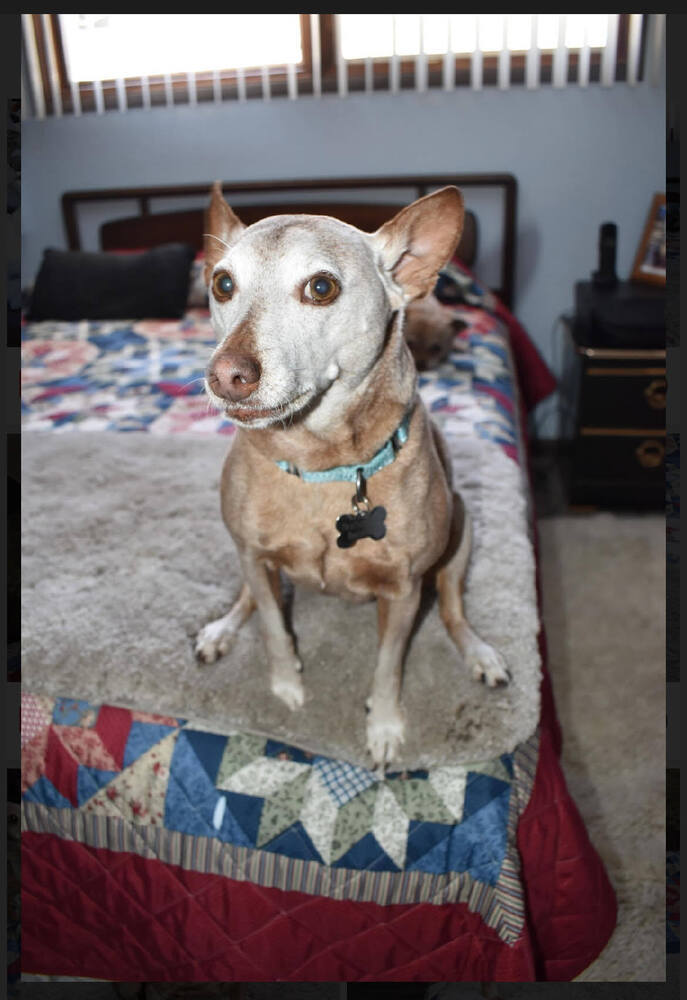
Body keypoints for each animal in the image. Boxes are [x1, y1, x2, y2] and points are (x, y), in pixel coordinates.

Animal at [196, 184, 508, 768]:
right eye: (222, 283)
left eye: (321, 287)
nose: (225, 375)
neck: (321, 468)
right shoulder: (254, 555)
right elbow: (272, 626)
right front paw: (287, 687)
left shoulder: (404, 592)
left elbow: (387, 666)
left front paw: (383, 726)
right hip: (250, 559)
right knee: (249, 597)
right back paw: (221, 630)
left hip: (462, 535)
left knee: (453, 610)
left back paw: (480, 655)